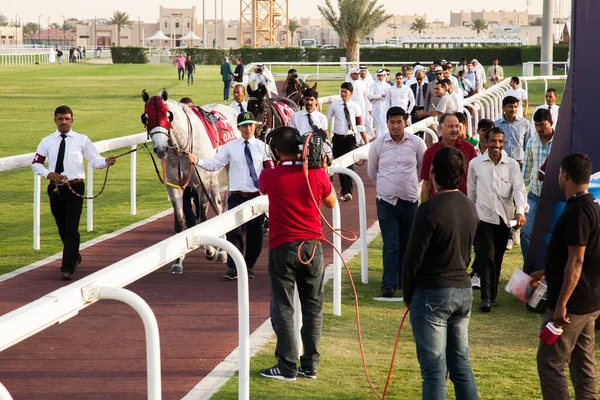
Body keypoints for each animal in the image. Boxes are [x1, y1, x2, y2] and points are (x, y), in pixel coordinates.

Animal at [142, 89, 240, 274]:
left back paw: (221, 251)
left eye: (168, 115)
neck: (180, 148)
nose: (160, 149)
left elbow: (203, 219)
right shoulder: (174, 186)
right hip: (213, 179)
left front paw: (209, 250)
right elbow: (180, 224)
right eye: (146, 117)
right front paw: (178, 261)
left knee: (226, 206)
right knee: (218, 206)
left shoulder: (201, 183)